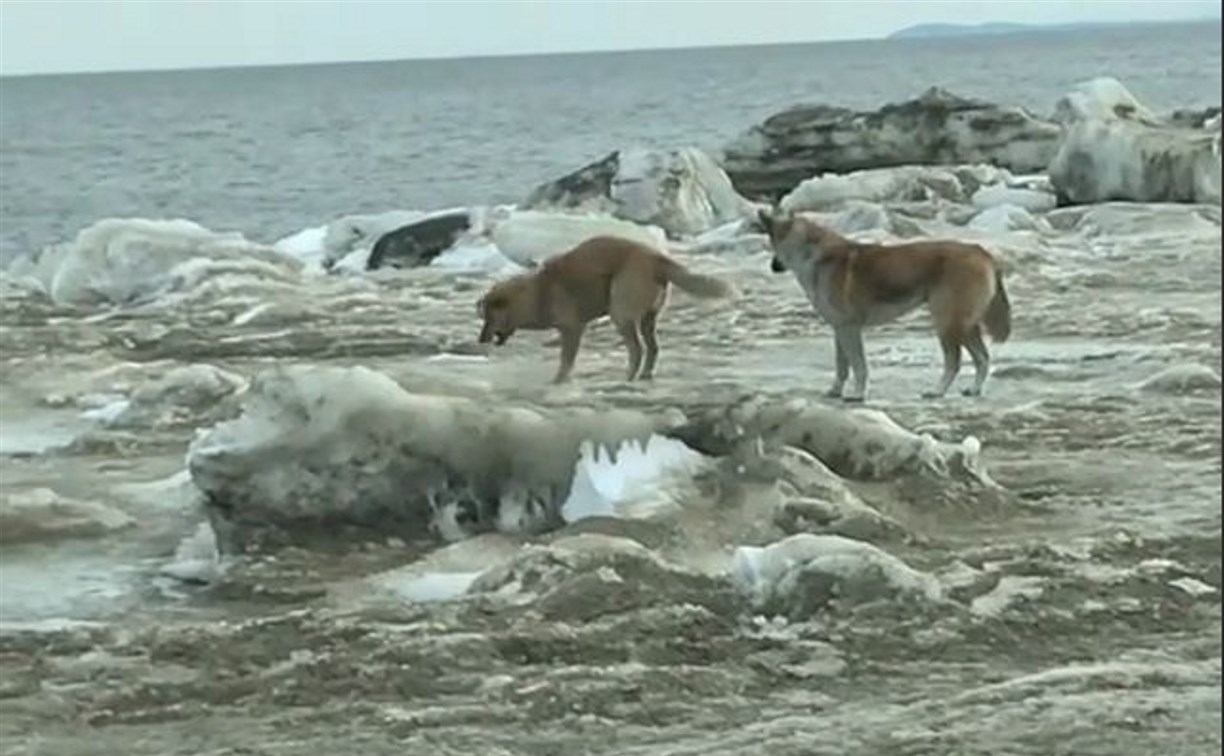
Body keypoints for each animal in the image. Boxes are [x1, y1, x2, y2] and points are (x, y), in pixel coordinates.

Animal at [474, 234, 724, 381]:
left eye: (489, 318)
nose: (481, 340)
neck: (537, 293)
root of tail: (657, 259)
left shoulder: (572, 328)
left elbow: (566, 359)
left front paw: (560, 380)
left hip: (621, 311)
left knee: (637, 349)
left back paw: (629, 376)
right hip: (648, 317)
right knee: (653, 348)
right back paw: (644, 374)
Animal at [758, 203, 1008, 396]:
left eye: (772, 239)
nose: (773, 266)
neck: (812, 256)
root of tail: (981, 252)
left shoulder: (849, 328)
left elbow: (859, 367)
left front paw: (857, 395)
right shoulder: (839, 328)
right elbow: (841, 368)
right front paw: (835, 392)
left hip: (947, 323)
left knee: (954, 362)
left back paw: (936, 391)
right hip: (965, 325)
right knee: (983, 359)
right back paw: (973, 390)